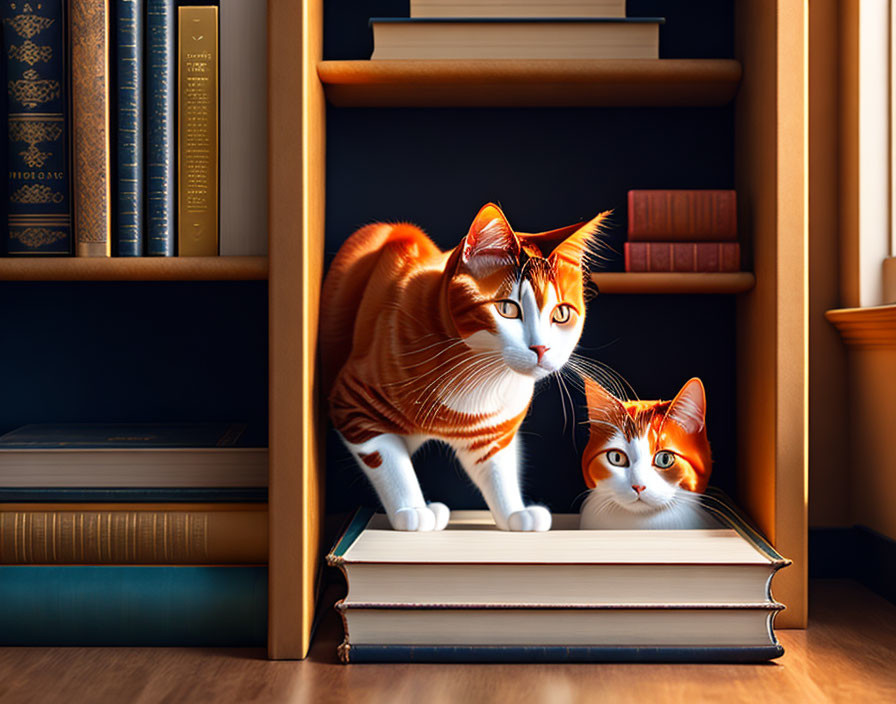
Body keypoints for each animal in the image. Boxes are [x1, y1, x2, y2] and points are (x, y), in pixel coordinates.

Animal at [318, 201, 604, 532]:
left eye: (561, 314)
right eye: (507, 309)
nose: (541, 348)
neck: (480, 375)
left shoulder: (493, 432)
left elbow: (500, 472)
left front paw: (514, 513)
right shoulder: (352, 403)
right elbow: (390, 463)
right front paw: (412, 510)